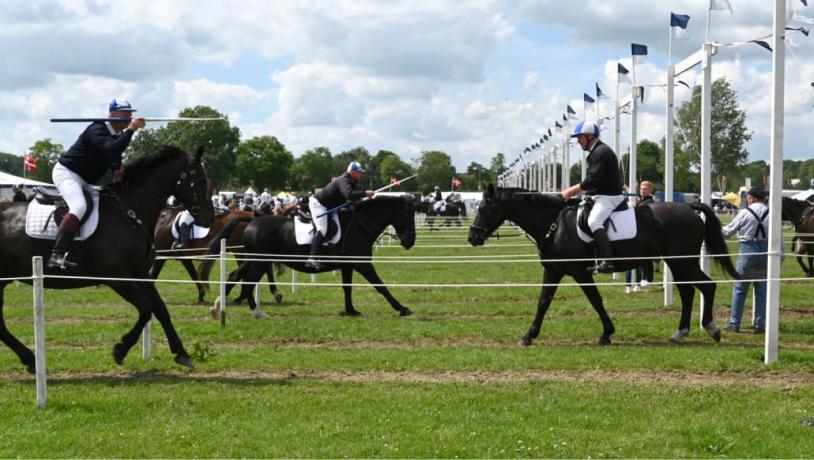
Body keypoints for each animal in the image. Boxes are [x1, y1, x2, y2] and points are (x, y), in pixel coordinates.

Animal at [0, 147, 214, 374]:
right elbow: (146, 308)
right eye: (201, 180)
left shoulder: (139, 273)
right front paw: (121, 349)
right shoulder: (116, 277)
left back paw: (30, 359)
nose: (209, 217)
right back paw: (31, 359)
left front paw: (181, 352)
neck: (129, 213)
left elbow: (160, 309)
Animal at [200, 195, 418, 320]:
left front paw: (351, 311)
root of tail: (252, 220)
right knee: (248, 282)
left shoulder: (348, 265)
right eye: (408, 215)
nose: (410, 241)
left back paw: (218, 308)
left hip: (253, 259)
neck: (360, 225)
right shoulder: (362, 264)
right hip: (260, 262)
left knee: (236, 276)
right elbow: (380, 286)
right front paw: (402, 308)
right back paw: (257, 312)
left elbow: (347, 288)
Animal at [468, 185, 744, 346]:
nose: (472, 237)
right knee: (688, 292)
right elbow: (543, 302)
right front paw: (529, 335)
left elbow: (595, 300)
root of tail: (689, 207)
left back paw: (711, 329)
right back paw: (680, 333)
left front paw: (606, 334)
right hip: (676, 263)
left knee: (707, 287)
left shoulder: (580, 272)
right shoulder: (554, 270)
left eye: (486, 207)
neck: (556, 224)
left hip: (682, 261)